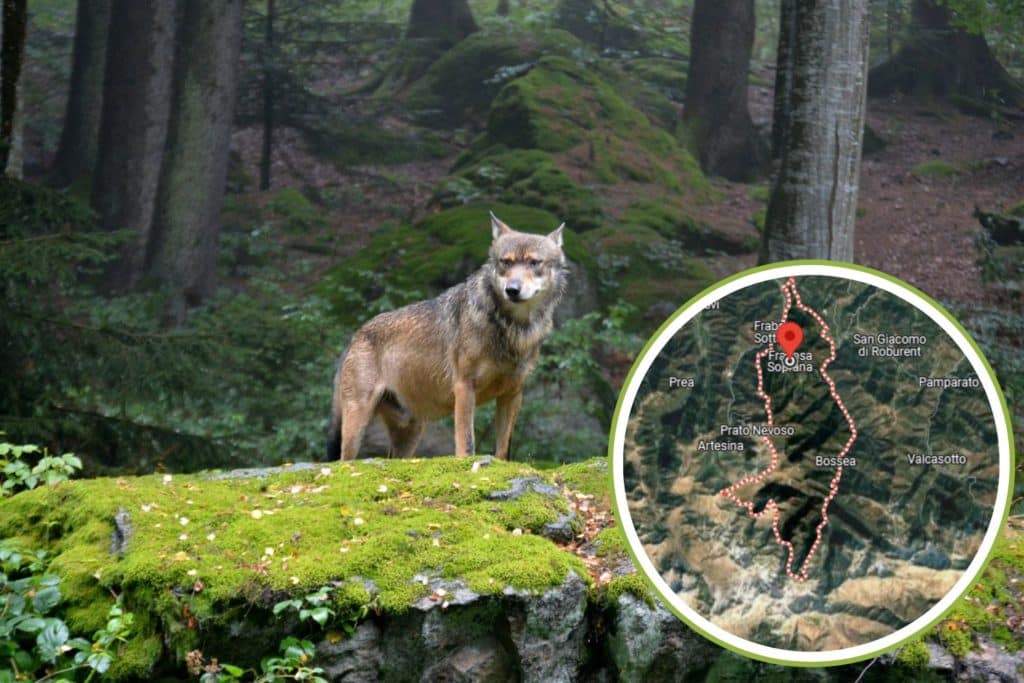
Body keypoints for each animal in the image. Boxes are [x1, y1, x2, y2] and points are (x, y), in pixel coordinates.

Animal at [326, 213, 567, 461]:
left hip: (410, 434)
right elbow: (467, 442)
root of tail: (356, 336)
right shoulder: (464, 387)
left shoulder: (513, 393)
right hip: (357, 424)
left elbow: (503, 450)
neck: (512, 327)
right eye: (506, 262)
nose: (512, 289)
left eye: (534, 262)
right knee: (344, 461)